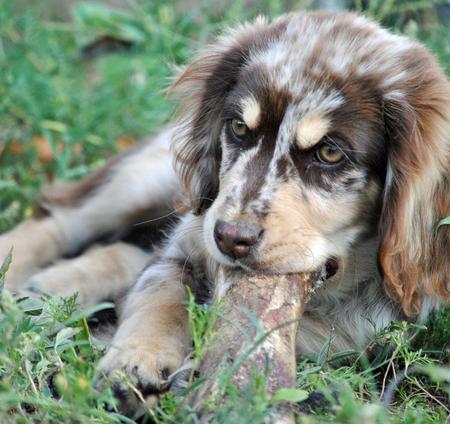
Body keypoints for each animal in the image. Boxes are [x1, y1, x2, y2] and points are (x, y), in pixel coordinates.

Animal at [0, 9, 450, 412]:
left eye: (329, 153)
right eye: (237, 127)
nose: (230, 238)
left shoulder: (366, 327)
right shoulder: (188, 237)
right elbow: (160, 295)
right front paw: (136, 360)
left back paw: (50, 289)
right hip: (145, 180)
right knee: (62, 217)